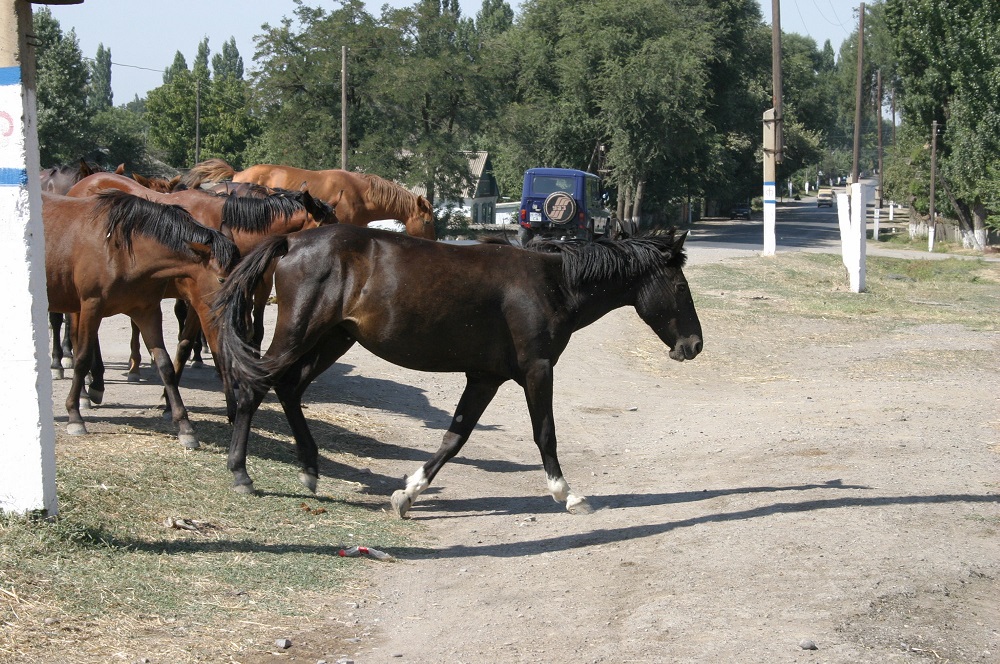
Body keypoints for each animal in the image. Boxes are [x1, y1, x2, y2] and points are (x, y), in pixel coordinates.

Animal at [43, 192, 240, 448]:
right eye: (221, 279)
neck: (122, 250)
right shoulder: (91, 307)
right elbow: (83, 358)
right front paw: (75, 417)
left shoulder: (147, 313)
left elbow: (165, 365)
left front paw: (184, 426)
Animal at [215, 226, 708, 516]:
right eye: (681, 288)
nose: (694, 345)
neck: (552, 284)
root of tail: (294, 241)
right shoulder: (537, 369)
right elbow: (545, 434)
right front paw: (567, 494)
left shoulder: (484, 377)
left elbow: (455, 437)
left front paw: (408, 493)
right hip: (300, 332)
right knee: (254, 387)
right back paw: (241, 474)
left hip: (334, 338)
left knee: (289, 388)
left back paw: (310, 469)